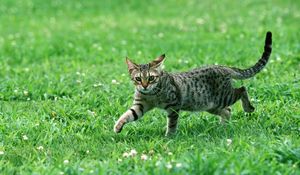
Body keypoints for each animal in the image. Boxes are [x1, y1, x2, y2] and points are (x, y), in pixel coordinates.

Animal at [113, 31, 272, 136]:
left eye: (151, 78)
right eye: (138, 79)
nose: (145, 85)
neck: (151, 94)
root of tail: (223, 67)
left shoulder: (174, 105)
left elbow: (172, 124)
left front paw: (169, 137)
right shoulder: (140, 105)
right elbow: (128, 114)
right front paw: (118, 126)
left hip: (224, 96)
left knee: (242, 89)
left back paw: (248, 108)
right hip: (211, 105)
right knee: (227, 110)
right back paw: (223, 127)